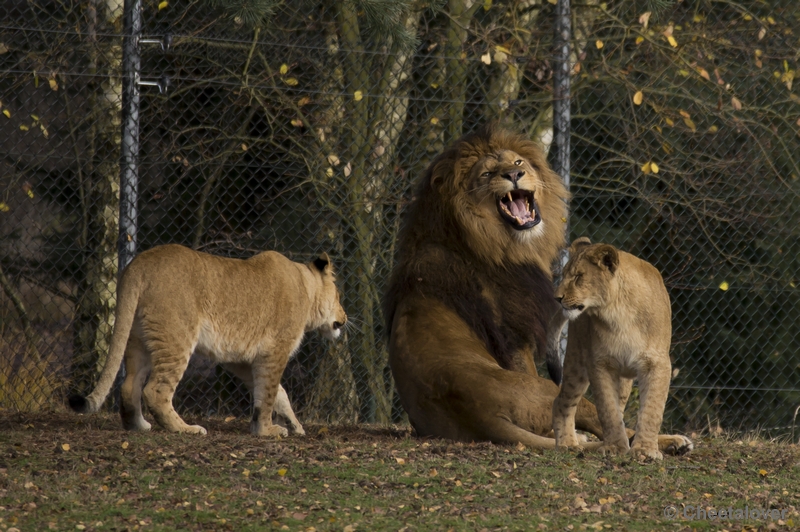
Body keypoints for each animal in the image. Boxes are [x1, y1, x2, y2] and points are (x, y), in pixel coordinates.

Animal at [73, 245, 348, 436]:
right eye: (339, 296)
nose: (344, 318)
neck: (306, 288)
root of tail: (139, 264)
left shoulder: (241, 359)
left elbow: (277, 393)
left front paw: (294, 426)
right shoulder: (274, 350)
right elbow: (269, 393)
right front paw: (267, 430)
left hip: (139, 338)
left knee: (130, 384)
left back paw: (138, 426)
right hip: (177, 337)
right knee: (156, 390)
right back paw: (186, 429)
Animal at [552, 239, 692, 460]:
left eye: (578, 276)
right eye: (564, 274)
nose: (556, 298)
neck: (618, 313)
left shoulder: (657, 363)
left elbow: (652, 409)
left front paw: (644, 450)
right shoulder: (599, 363)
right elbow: (608, 410)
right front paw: (614, 447)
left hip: (623, 381)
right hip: (576, 361)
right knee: (561, 402)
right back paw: (568, 443)